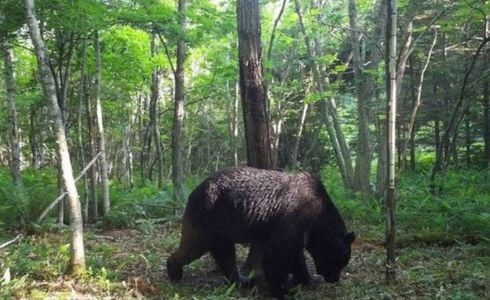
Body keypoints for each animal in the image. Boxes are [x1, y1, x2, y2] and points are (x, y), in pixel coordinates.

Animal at [167, 168, 354, 298]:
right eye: (339, 261)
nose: (334, 279)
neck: (317, 218)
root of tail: (193, 191)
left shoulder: (297, 232)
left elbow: (295, 256)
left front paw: (307, 279)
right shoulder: (292, 220)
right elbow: (278, 255)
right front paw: (283, 290)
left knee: (220, 253)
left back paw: (240, 280)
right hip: (210, 215)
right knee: (196, 246)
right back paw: (174, 270)